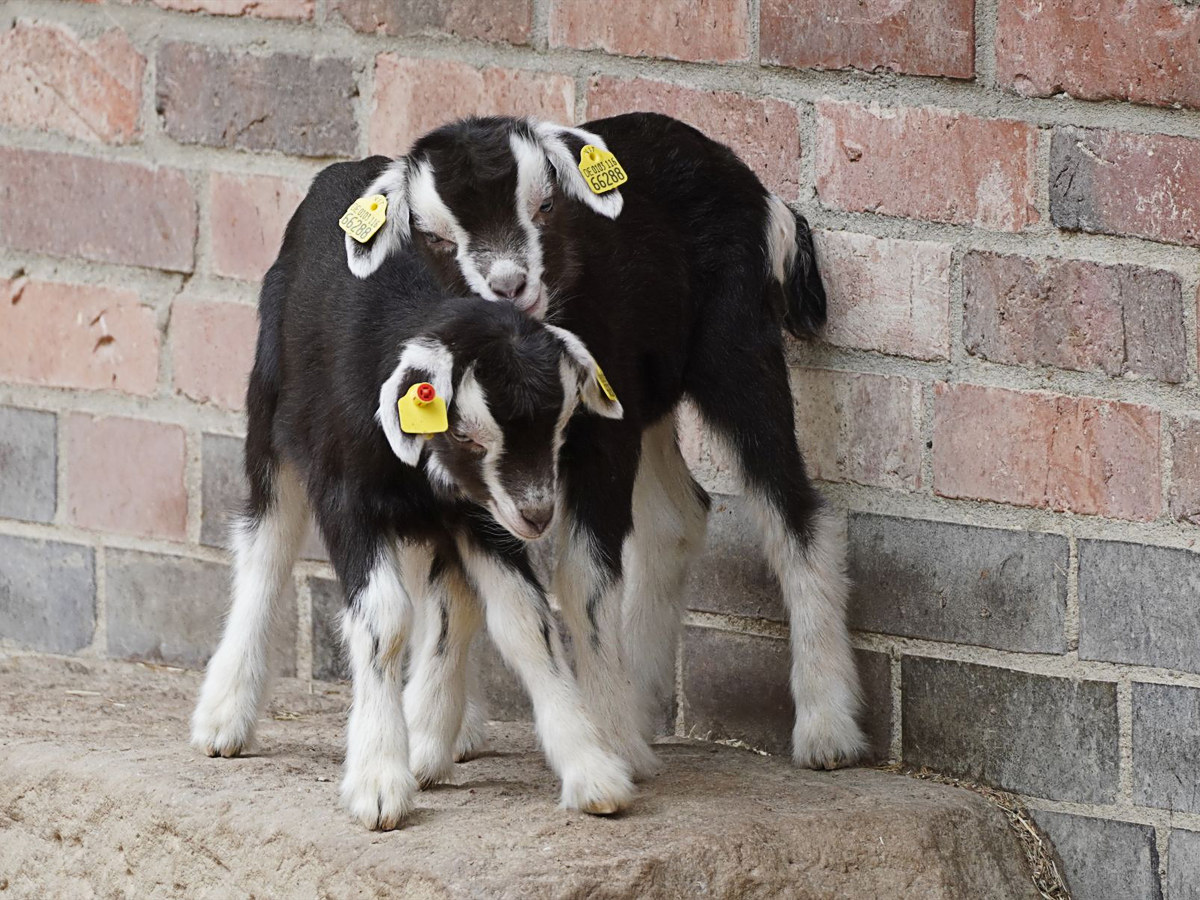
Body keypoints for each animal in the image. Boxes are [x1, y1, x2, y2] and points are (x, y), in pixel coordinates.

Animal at [191, 158, 635, 830]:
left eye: (561, 428)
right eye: (469, 435)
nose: (538, 515)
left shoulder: (481, 516)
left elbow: (525, 622)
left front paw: (592, 770)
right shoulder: (347, 498)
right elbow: (383, 619)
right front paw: (378, 781)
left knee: (452, 597)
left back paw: (437, 730)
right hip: (271, 412)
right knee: (265, 547)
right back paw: (226, 713)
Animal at [344, 113, 867, 780]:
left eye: (544, 205)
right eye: (432, 236)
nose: (510, 286)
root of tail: (756, 192)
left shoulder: (599, 438)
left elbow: (583, 580)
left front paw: (608, 744)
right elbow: (451, 584)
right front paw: (438, 732)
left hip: (735, 349)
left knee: (796, 515)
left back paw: (827, 727)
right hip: (648, 393)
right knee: (677, 517)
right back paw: (637, 700)